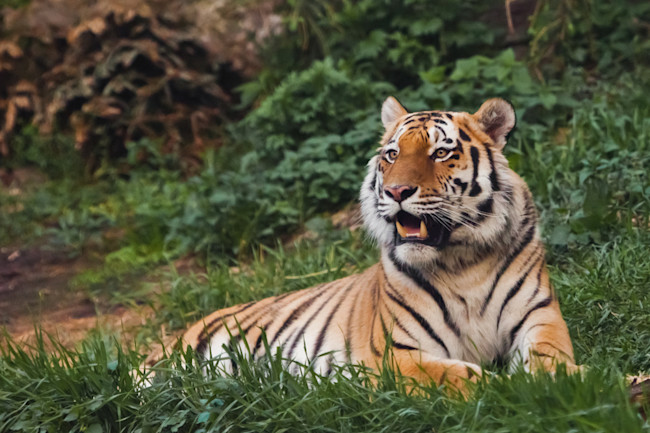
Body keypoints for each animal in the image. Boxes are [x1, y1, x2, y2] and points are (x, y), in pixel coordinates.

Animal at [158, 97, 579, 392]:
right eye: (392, 154)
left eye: (441, 152)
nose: (396, 191)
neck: (462, 263)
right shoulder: (397, 353)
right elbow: (469, 379)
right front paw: (511, 388)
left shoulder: (540, 318)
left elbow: (553, 361)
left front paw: (579, 380)